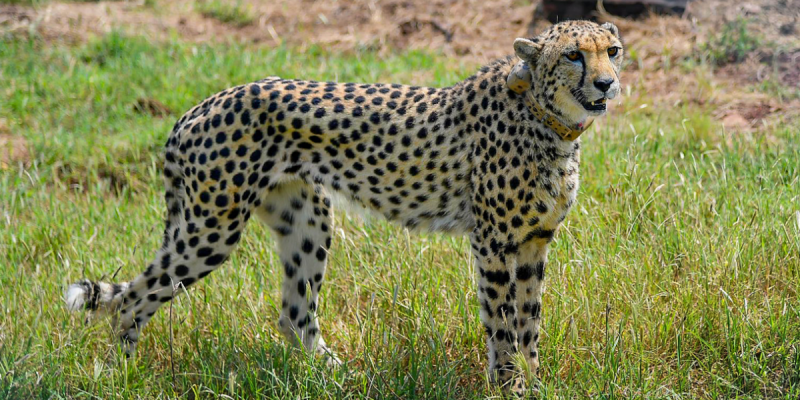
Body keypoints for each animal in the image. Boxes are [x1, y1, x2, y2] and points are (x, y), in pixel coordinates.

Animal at [64, 20, 623, 392]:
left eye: (613, 50)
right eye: (574, 55)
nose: (607, 82)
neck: (549, 120)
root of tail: (200, 106)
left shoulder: (533, 242)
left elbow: (530, 323)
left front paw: (535, 381)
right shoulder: (493, 243)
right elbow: (503, 325)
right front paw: (511, 386)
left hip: (306, 220)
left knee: (294, 314)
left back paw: (338, 377)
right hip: (211, 229)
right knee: (134, 298)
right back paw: (121, 374)